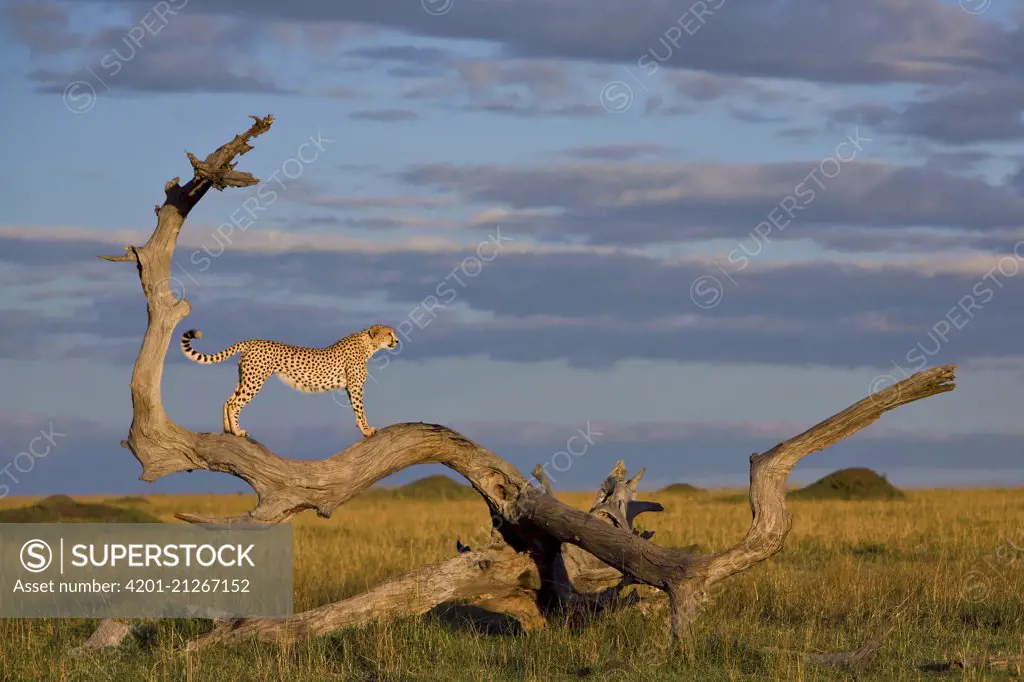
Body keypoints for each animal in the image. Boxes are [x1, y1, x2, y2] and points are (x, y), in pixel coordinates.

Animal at [180, 323, 395, 436]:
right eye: (389, 333)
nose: (397, 341)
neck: (369, 345)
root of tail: (253, 341)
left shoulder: (350, 387)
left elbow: (356, 411)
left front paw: (362, 429)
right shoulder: (356, 386)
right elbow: (360, 410)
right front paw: (367, 430)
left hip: (245, 379)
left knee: (227, 400)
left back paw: (228, 430)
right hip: (254, 381)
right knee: (235, 403)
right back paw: (238, 431)